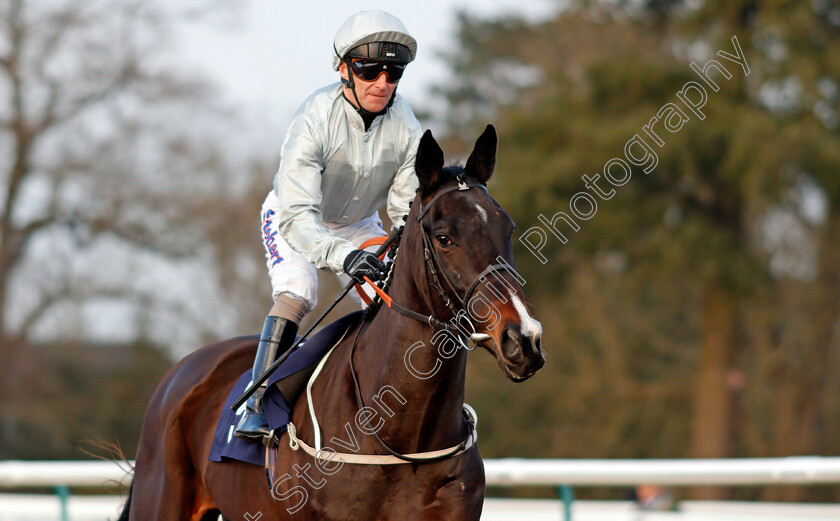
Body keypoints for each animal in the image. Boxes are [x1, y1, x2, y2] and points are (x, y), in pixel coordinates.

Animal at [123, 126, 544, 520]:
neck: (401, 436)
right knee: (293, 292)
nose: (523, 338)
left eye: (507, 228)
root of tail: (180, 372)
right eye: (444, 238)